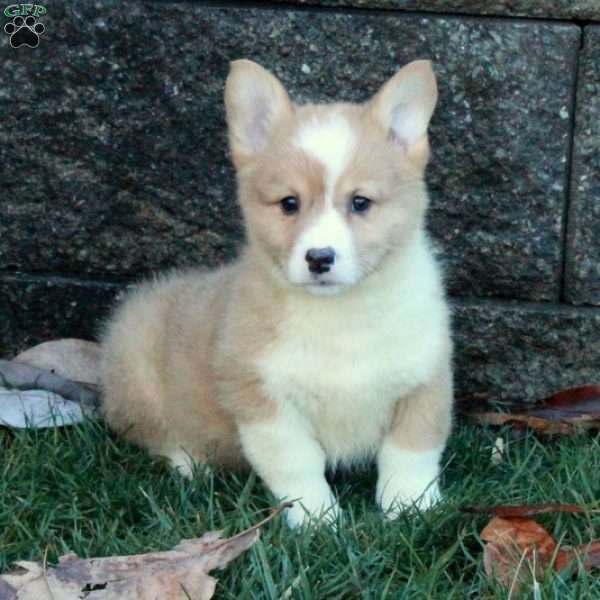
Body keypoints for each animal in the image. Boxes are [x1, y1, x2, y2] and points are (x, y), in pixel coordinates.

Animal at [101, 58, 452, 528]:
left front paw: (411, 508)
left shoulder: (424, 380)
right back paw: (189, 464)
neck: (341, 315)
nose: (319, 258)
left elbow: (411, 453)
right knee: (157, 435)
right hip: (135, 379)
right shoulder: (262, 399)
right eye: (289, 203)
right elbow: (297, 465)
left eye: (360, 202)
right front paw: (319, 521)